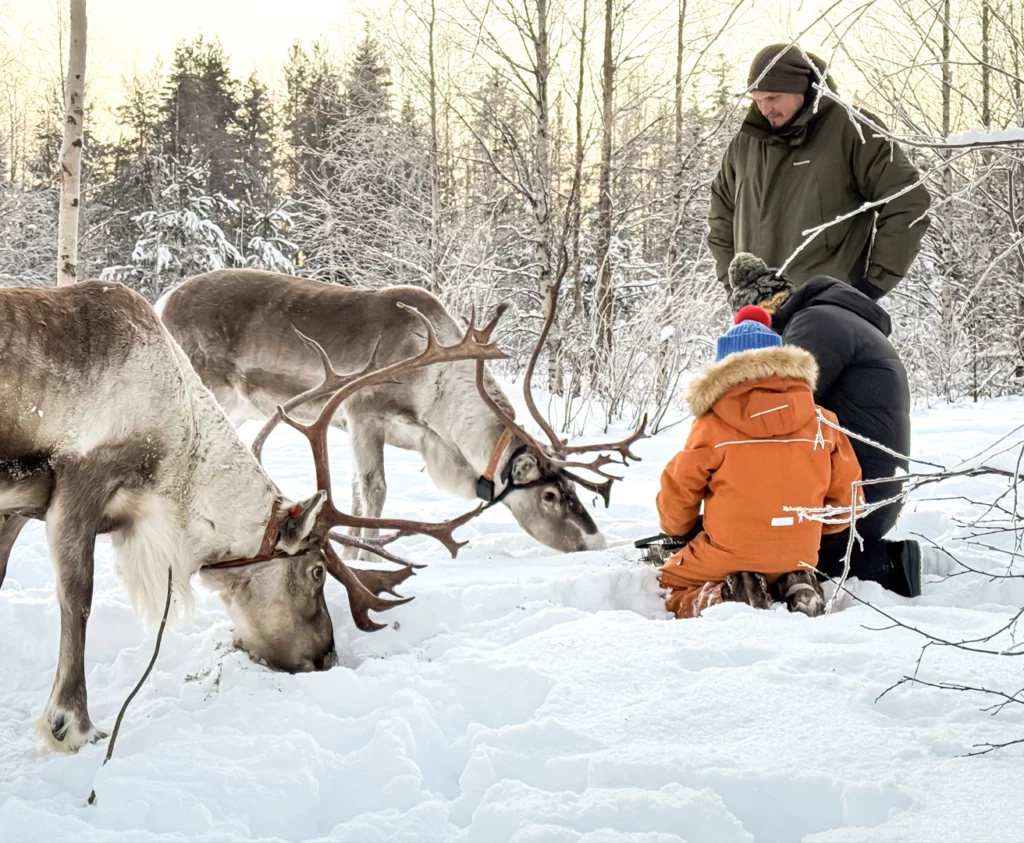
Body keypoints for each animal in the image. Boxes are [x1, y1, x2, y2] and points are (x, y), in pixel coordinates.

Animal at [0, 279, 506, 753]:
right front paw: (72, 725)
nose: (326, 658)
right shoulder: (78, 481)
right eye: (317, 571)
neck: (175, 449)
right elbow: (77, 598)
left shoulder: (20, 505)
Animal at [159, 266, 647, 559]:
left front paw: (352, 553)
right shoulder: (363, 416)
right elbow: (373, 491)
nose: (597, 542)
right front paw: (368, 556)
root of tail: (162, 301)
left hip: (236, 409)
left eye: (572, 487)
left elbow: (352, 493)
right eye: (549, 496)